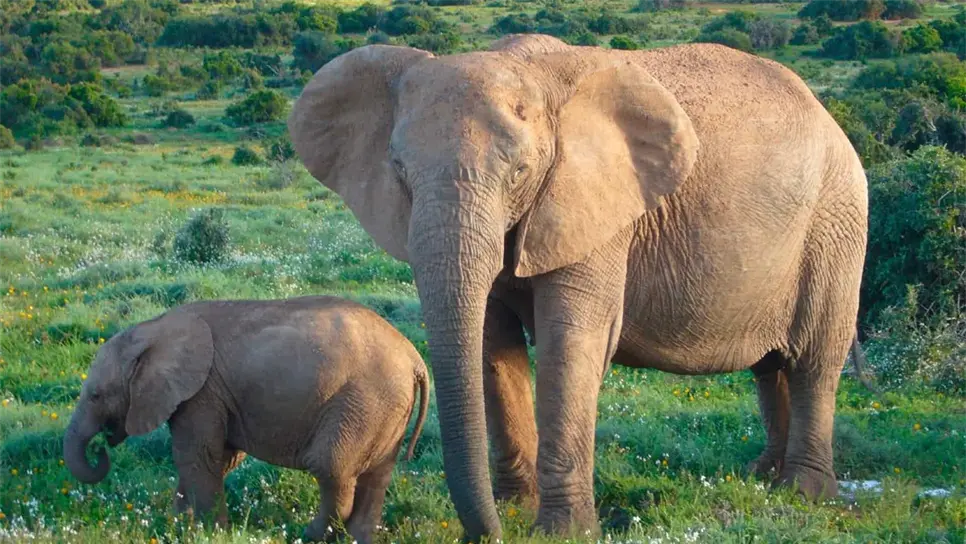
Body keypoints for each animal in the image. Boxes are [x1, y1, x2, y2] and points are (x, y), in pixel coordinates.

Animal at [63, 296, 429, 544]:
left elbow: (198, 456)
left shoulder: (202, 393)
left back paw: (305, 534)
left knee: (331, 467)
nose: (101, 447)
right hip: (387, 408)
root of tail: (414, 358)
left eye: (95, 395)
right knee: (377, 476)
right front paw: (178, 525)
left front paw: (208, 532)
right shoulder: (215, 396)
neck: (153, 329)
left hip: (364, 400)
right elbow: (220, 459)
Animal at [288, 34, 868, 541]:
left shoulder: (596, 207)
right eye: (400, 171)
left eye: (521, 171)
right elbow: (492, 346)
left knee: (815, 359)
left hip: (837, 222)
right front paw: (516, 511)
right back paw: (762, 479)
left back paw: (804, 493)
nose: (489, 535)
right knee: (770, 367)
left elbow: (572, 341)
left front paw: (560, 532)